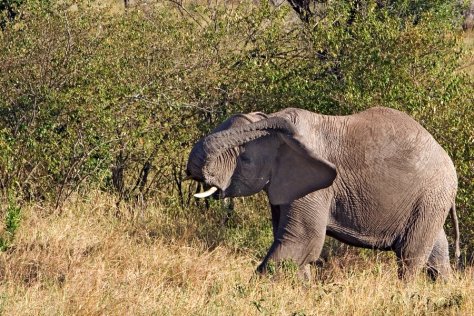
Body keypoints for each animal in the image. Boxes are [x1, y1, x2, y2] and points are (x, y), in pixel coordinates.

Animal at [185, 107, 460, 280]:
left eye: (245, 160)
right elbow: (294, 243)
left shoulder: (317, 188)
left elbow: (302, 240)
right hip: (430, 201)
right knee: (436, 254)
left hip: (431, 195)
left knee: (410, 257)